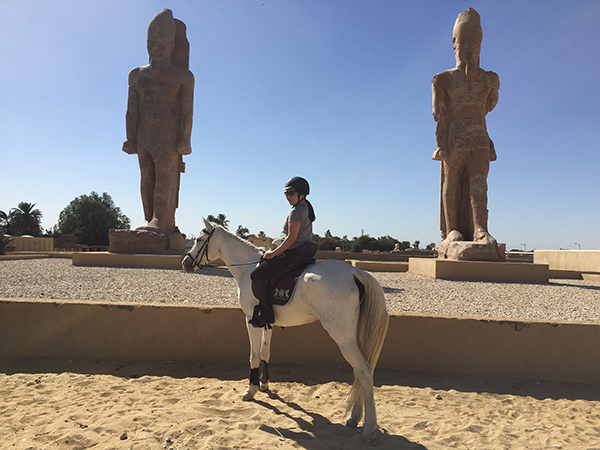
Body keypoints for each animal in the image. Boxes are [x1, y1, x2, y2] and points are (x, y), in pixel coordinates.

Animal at [183, 220, 390, 442]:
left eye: (199, 239)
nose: (185, 263)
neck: (248, 269)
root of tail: (355, 273)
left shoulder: (250, 320)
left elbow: (254, 355)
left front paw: (251, 390)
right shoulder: (267, 323)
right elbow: (265, 353)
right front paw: (264, 385)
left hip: (343, 337)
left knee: (364, 371)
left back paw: (369, 428)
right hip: (353, 337)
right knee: (358, 371)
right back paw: (354, 418)